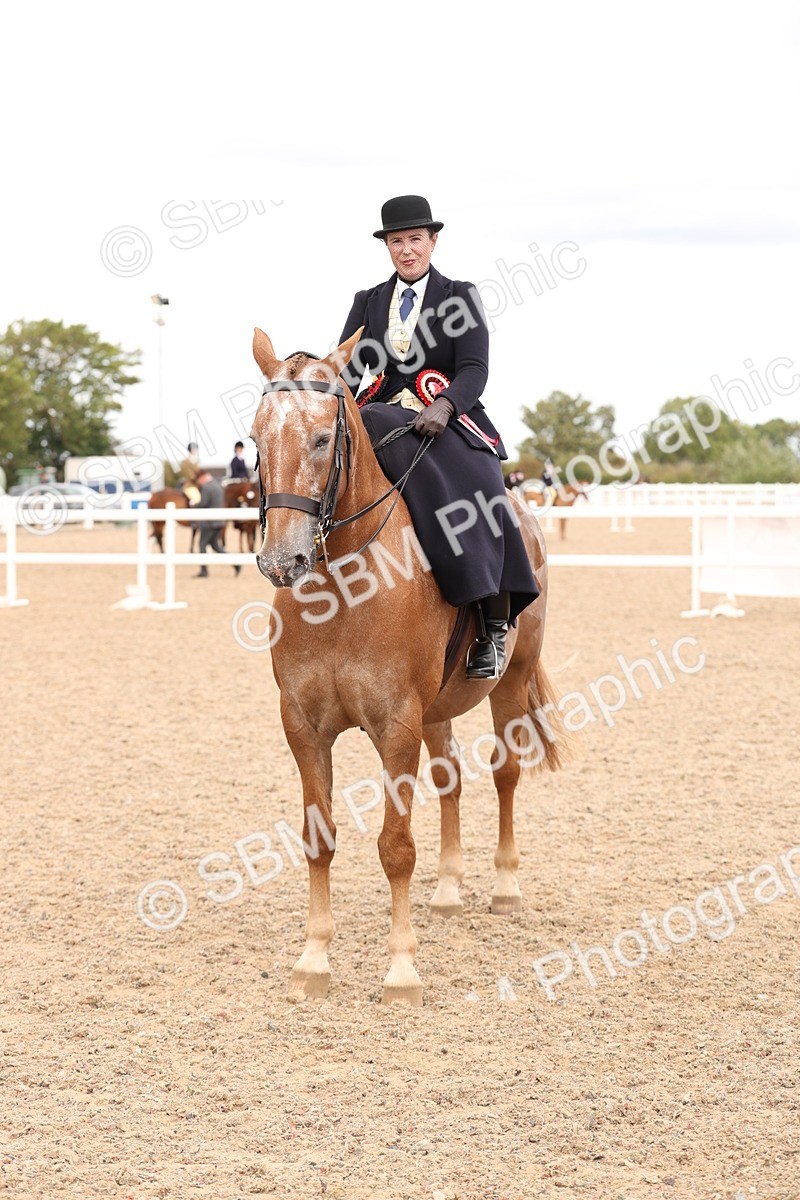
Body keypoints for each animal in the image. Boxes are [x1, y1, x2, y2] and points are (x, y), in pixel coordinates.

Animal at [250, 327, 564, 1007]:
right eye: (258, 439)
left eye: (323, 438)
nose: (282, 561)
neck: (343, 589)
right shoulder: (303, 727)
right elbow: (319, 839)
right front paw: (313, 961)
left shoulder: (396, 727)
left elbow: (395, 847)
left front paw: (401, 971)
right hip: (438, 711)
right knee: (452, 781)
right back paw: (446, 892)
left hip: (510, 683)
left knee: (505, 774)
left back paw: (505, 888)